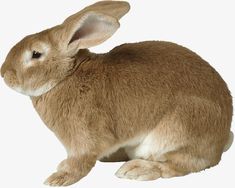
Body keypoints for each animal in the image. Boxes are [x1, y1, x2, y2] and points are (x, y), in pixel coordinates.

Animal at [0, 0, 232, 187]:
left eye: (36, 54)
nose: (4, 73)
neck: (65, 76)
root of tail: (221, 140)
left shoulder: (84, 137)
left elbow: (81, 161)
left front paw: (59, 177)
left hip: (183, 126)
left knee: (180, 164)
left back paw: (137, 169)